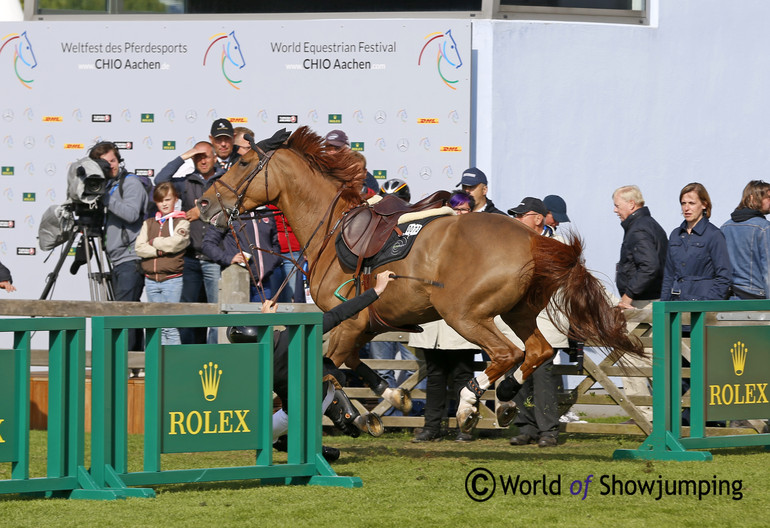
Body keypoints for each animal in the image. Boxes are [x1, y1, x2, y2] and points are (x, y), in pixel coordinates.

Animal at [195, 128, 640, 434]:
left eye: (240, 163)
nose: (202, 203)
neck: (331, 226)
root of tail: (534, 238)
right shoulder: (363, 325)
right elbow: (349, 364)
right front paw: (390, 397)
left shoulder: (349, 321)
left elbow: (328, 367)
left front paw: (355, 414)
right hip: (519, 313)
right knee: (538, 352)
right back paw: (505, 400)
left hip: (465, 315)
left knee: (506, 354)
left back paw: (470, 403)